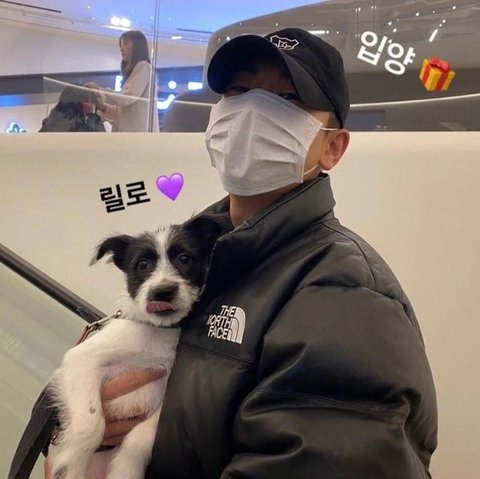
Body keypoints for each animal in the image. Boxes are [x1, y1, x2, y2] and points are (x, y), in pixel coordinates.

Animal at [47, 213, 230, 479]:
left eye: (185, 259)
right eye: (142, 265)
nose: (162, 292)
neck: (157, 331)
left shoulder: (167, 394)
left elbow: (141, 438)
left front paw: (125, 470)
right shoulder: (81, 360)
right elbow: (91, 421)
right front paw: (71, 466)